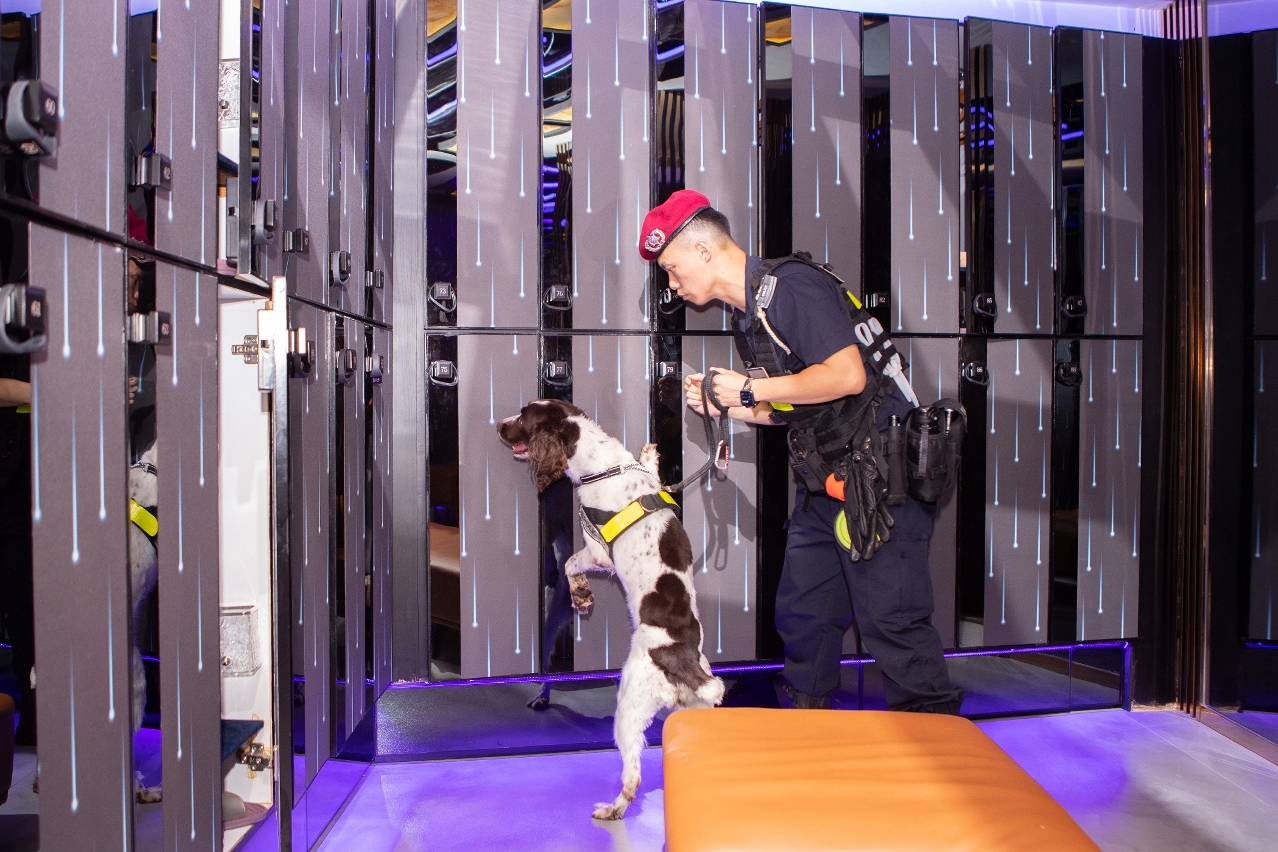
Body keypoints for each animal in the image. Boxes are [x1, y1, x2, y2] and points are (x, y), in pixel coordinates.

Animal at [498, 399, 725, 820]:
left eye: (521, 418)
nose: (499, 426)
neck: (604, 463)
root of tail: (683, 662)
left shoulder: (597, 551)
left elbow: (570, 565)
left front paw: (582, 597)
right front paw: (650, 454)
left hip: (630, 704)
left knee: (632, 772)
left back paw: (612, 809)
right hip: (693, 710)